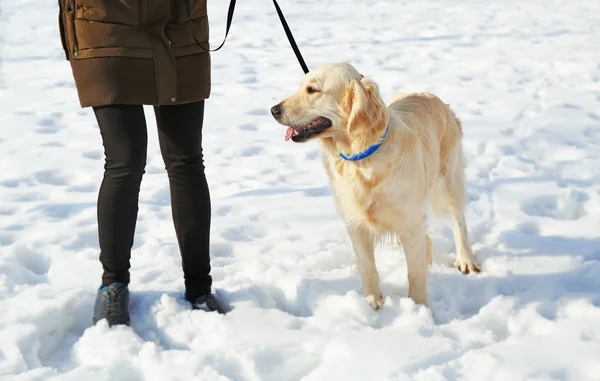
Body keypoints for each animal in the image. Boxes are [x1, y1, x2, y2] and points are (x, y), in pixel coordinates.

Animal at [270, 62, 480, 308]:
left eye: (312, 90)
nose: (273, 110)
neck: (361, 157)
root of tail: (434, 97)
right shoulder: (355, 222)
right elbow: (367, 266)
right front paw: (372, 302)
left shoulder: (412, 221)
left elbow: (415, 271)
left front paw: (419, 306)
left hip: (450, 180)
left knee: (459, 221)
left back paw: (466, 260)